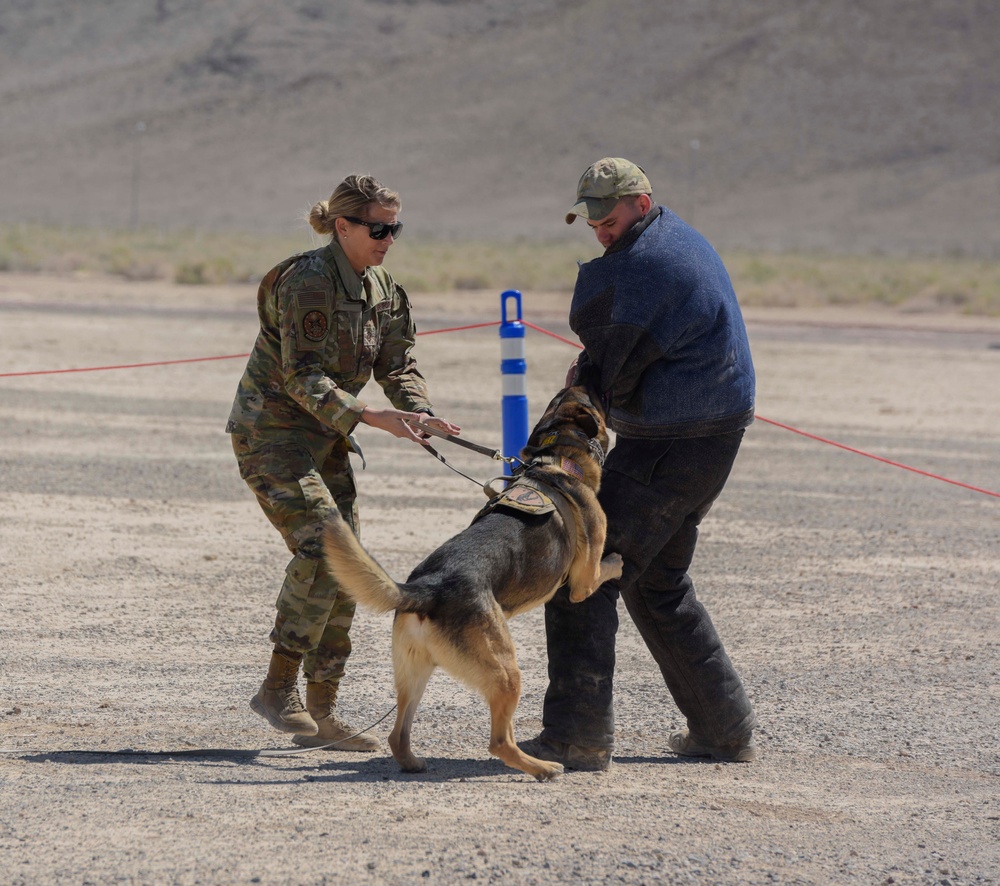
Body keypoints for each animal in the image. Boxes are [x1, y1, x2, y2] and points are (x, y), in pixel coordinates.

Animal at [320, 386, 620, 780]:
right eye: (595, 397)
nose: (597, 383)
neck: (556, 458)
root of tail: (428, 588)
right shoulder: (583, 582)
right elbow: (605, 567)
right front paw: (619, 561)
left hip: (416, 673)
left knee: (398, 734)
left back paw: (413, 762)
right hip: (507, 672)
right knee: (499, 742)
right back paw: (541, 767)